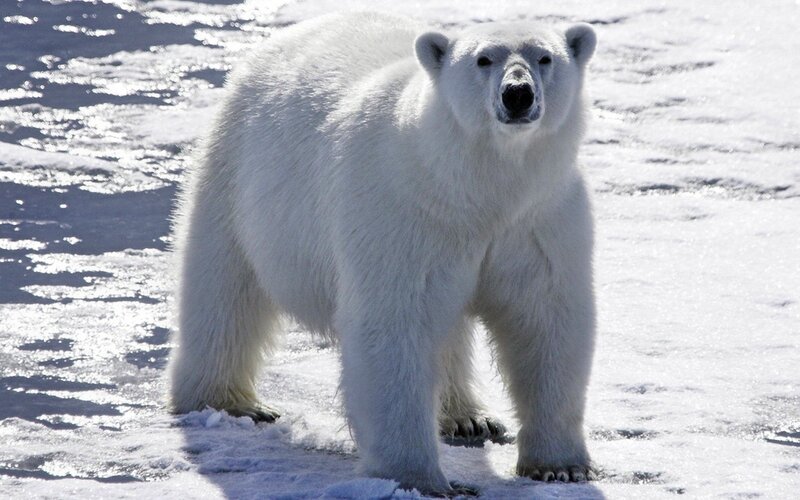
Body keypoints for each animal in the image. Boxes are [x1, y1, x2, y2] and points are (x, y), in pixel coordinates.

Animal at [168, 11, 598, 496]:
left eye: (544, 57)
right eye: (484, 59)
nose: (518, 94)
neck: (473, 187)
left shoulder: (539, 219)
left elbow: (546, 320)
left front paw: (560, 466)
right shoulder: (404, 211)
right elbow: (396, 324)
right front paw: (423, 479)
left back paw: (468, 418)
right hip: (239, 177)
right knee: (222, 290)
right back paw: (229, 402)